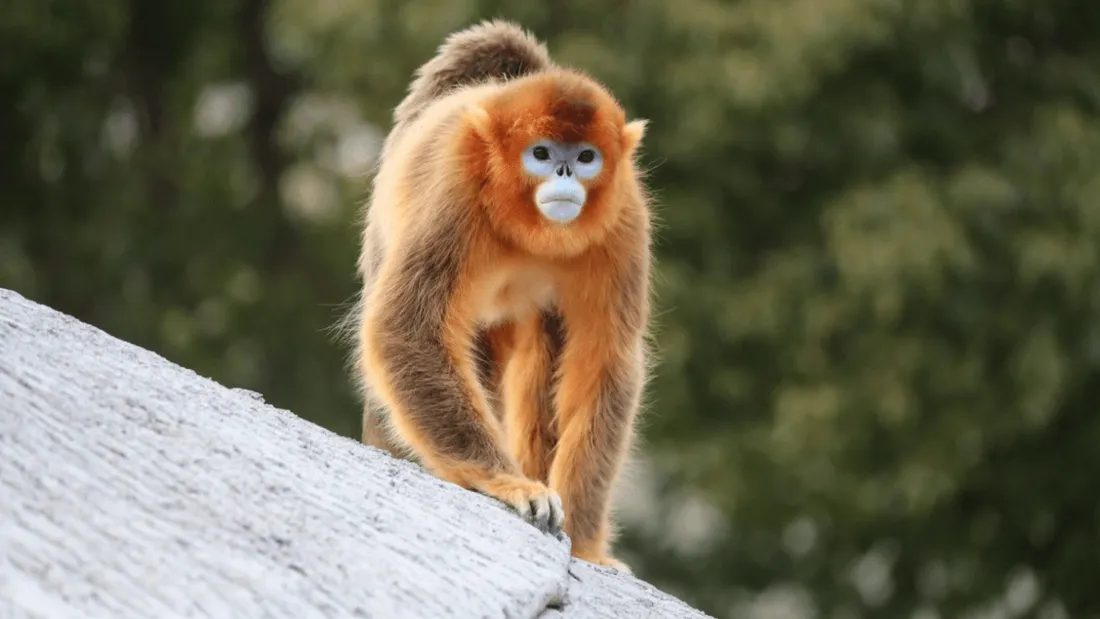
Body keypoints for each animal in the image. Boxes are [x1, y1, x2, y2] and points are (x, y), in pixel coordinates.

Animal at [344, 20, 652, 572]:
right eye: (542, 154)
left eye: (587, 157)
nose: (565, 174)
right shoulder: (455, 187)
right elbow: (403, 328)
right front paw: (507, 483)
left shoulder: (625, 217)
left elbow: (604, 362)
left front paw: (587, 546)